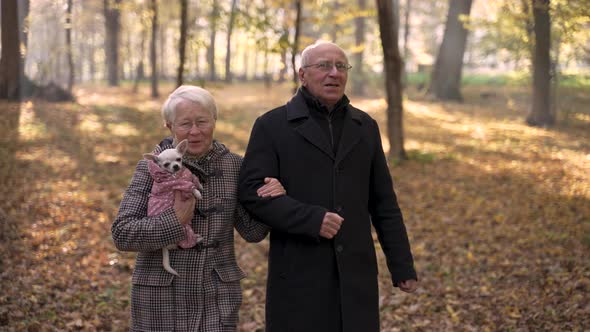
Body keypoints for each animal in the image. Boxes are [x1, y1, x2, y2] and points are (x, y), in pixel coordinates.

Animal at [145, 139, 205, 276]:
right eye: (166, 164)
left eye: (179, 159)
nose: (176, 166)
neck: (178, 174)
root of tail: (163, 246)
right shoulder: (180, 185)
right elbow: (191, 187)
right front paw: (198, 194)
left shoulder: (188, 176)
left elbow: (194, 179)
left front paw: (200, 185)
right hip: (183, 231)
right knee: (179, 245)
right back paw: (197, 239)